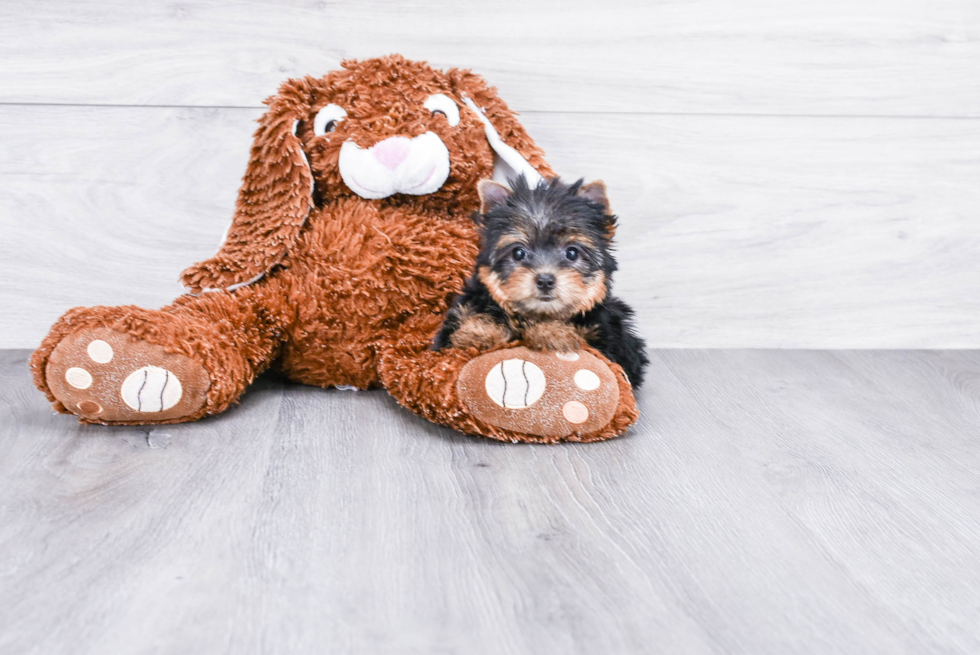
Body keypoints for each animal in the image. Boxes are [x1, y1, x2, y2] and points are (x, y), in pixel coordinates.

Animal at [432, 177, 648, 386]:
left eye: (572, 253)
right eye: (518, 253)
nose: (545, 280)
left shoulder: (611, 341)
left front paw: (551, 333)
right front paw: (478, 332)